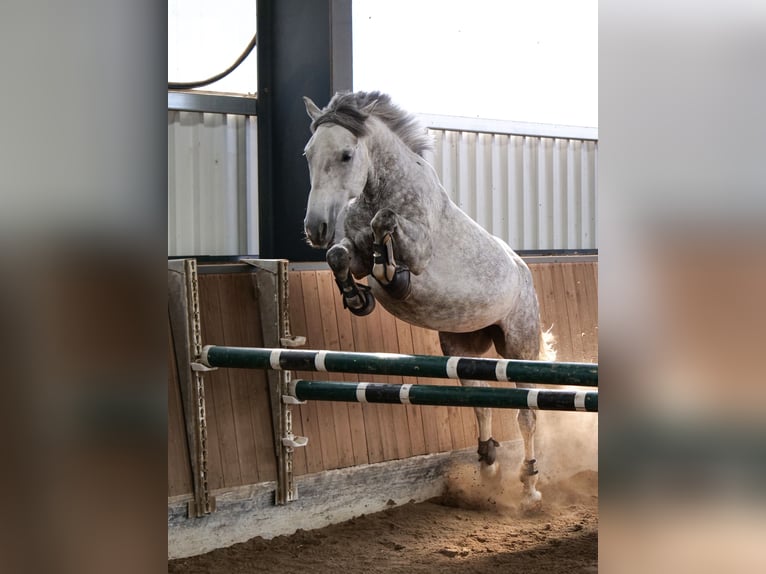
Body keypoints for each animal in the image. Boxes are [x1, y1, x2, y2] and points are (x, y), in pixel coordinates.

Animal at [301, 91, 556, 510]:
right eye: (308, 153)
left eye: (346, 155)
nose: (316, 228)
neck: (380, 189)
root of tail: (524, 271)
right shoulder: (354, 252)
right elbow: (340, 255)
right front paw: (357, 297)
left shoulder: (417, 252)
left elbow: (385, 225)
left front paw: (391, 271)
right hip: (461, 346)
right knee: (481, 401)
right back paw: (488, 463)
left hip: (519, 347)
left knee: (527, 414)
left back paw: (529, 484)